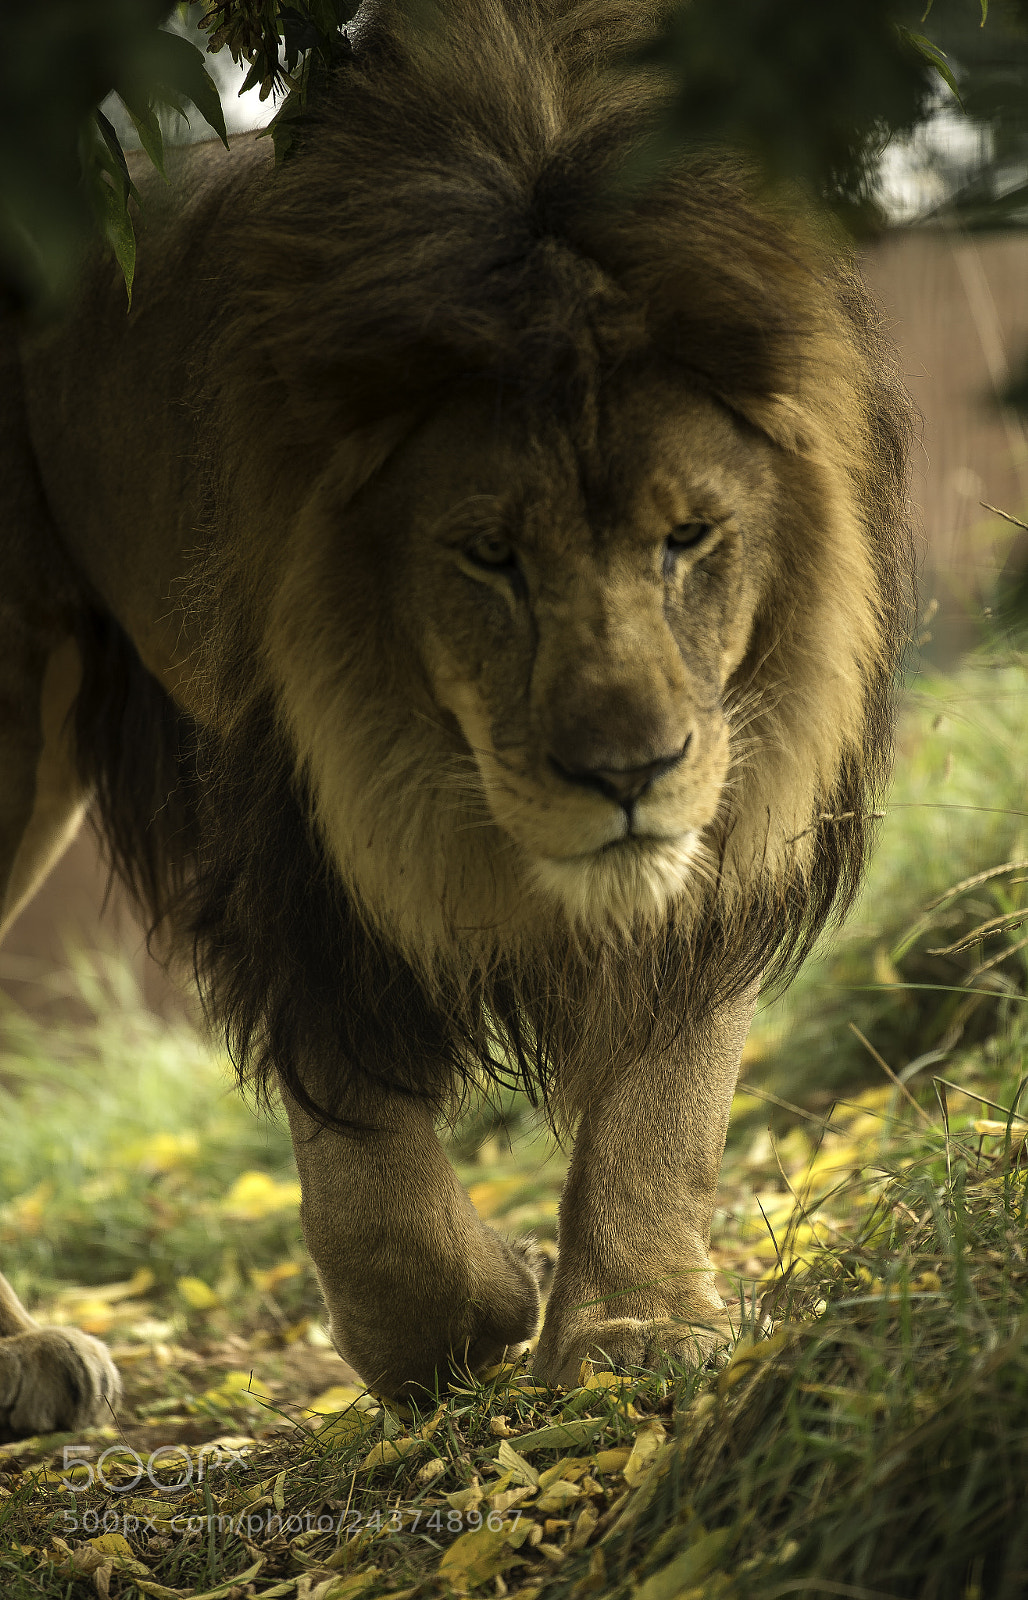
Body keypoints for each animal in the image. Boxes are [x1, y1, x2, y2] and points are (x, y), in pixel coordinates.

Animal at [0, 0, 913, 1437]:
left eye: (687, 538)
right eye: (488, 556)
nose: (631, 772)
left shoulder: (733, 803)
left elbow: (669, 1094)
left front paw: (634, 1325)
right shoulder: (297, 834)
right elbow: (363, 1157)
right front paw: (470, 1310)